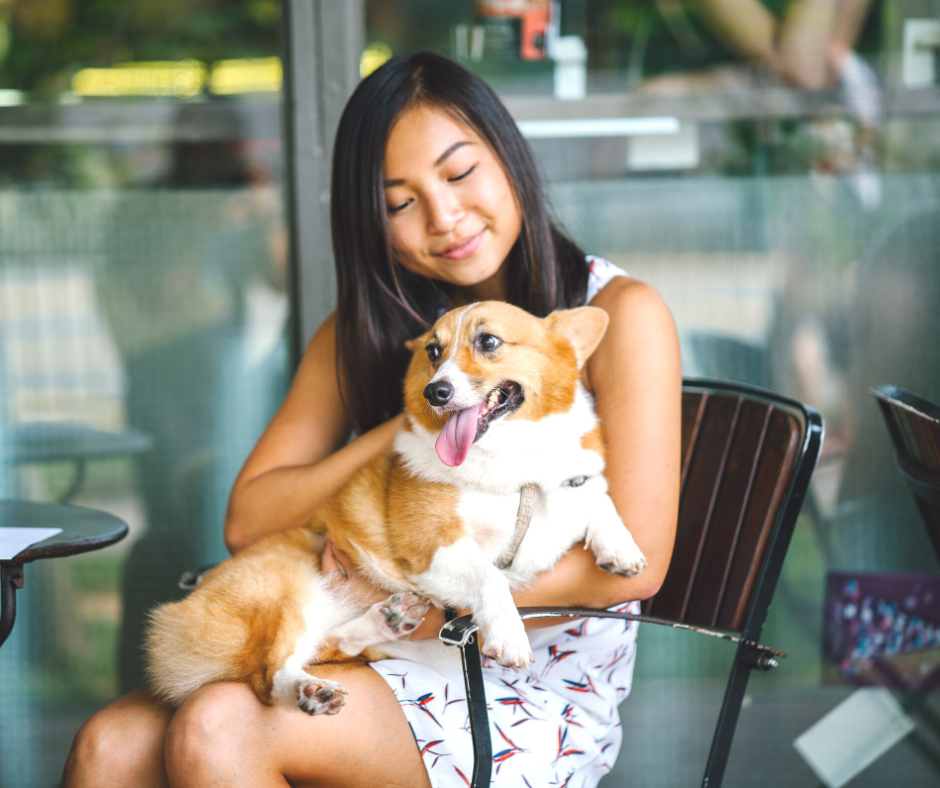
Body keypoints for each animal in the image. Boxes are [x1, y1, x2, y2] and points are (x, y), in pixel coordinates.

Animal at [145, 300, 648, 716]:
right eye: (432, 351)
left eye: (488, 341)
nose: (435, 392)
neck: (516, 469)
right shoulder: (434, 548)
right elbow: (489, 576)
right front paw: (508, 635)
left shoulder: (570, 487)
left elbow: (600, 498)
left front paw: (621, 549)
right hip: (286, 588)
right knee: (268, 676)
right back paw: (310, 691)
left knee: (331, 644)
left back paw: (385, 621)